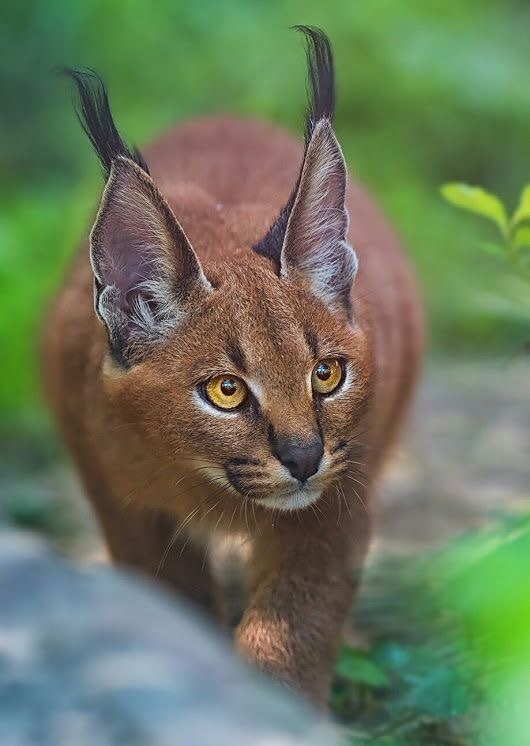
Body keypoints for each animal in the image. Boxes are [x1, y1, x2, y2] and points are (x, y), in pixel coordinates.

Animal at [42, 29, 420, 704]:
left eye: (326, 374)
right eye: (225, 391)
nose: (304, 458)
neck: (208, 486)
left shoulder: (335, 505)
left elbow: (293, 629)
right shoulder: (123, 502)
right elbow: (173, 601)